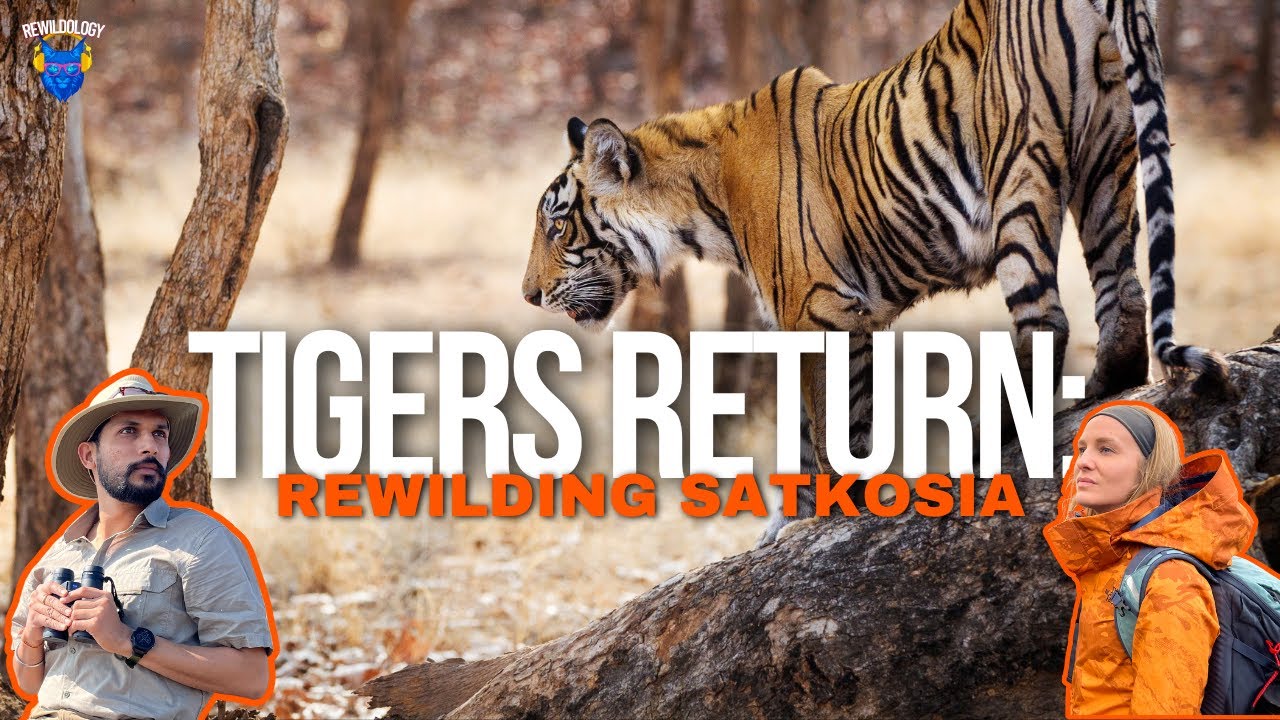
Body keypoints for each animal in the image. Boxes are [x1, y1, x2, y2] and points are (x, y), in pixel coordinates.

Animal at [521, 0, 1228, 542]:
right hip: (1108, 163)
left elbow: (819, 427)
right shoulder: (848, 319)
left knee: (1046, 323)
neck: (702, 202)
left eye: (556, 226)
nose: (529, 294)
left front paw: (816, 514)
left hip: (1022, 172)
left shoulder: (813, 314)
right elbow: (837, 426)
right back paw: (1106, 389)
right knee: (1124, 296)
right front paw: (811, 519)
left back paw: (986, 444)